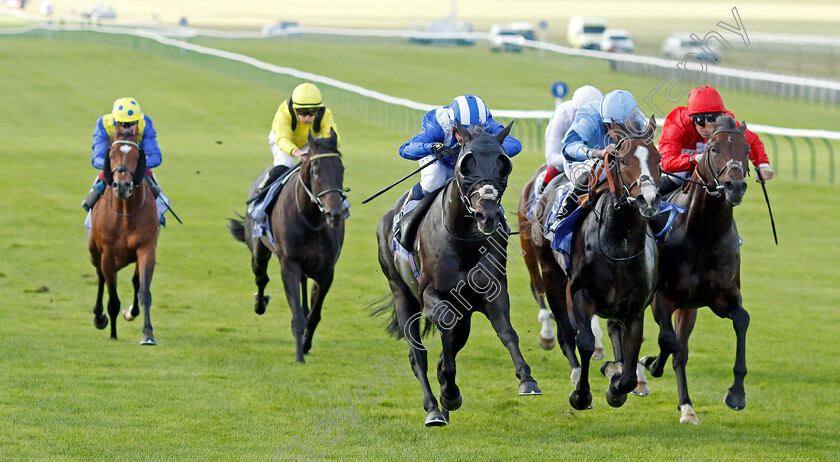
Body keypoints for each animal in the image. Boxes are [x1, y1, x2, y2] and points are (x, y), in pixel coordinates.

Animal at [88, 122, 160, 342]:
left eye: (137, 156)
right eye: (111, 154)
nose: (122, 185)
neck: (125, 214)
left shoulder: (146, 248)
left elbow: (144, 291)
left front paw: (148, 334)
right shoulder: (107, 255)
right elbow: (112, 299)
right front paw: (112, 333)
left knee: (136, 282)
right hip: (94, 251)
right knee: (100, 275)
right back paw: (99, 317)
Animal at [226, 128, 344, 362]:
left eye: (341, 168)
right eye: (315, 170)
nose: (334, 214)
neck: (310, 218)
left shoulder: (326, 271)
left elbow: (314, 314)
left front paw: (306, 345)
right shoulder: (289, 264)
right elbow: (297, 315)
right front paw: (299, 355)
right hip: (259, 251)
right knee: (261, 277)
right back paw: (260, 303)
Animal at [372, 121, 540, 428]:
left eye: (503, 164)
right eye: (466, 164)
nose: (487, 215)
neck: (464, 242)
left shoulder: (491, 292)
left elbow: (507, 331)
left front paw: (527, 379)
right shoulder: (430, 294)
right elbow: (443, 328)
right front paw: (448, 393)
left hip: (465, 313)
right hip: (402, 294)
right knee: (417, 355)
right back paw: (433, 408)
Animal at [520, 117, 660, 410]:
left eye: (658, 158)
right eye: (622, 160)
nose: (649, 199)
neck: (618, 242)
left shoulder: (635, 306)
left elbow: (630, 359)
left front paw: (617, 385)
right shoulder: (581, 293)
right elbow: (584, 341)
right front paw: (582, 394)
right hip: (550, 272)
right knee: (564, 329)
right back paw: (574, 372)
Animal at [644, 116, 756, 426]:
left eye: (747, 149)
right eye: (714, 149)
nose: (734, 186)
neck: (704, 235)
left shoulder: (720, 296)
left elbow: (742, 320)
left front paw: (737, 394)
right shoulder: (662, 298)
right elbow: (667, 340)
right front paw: (650, 363)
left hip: (689, 308)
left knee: (681, 351)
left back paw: (687, 407)